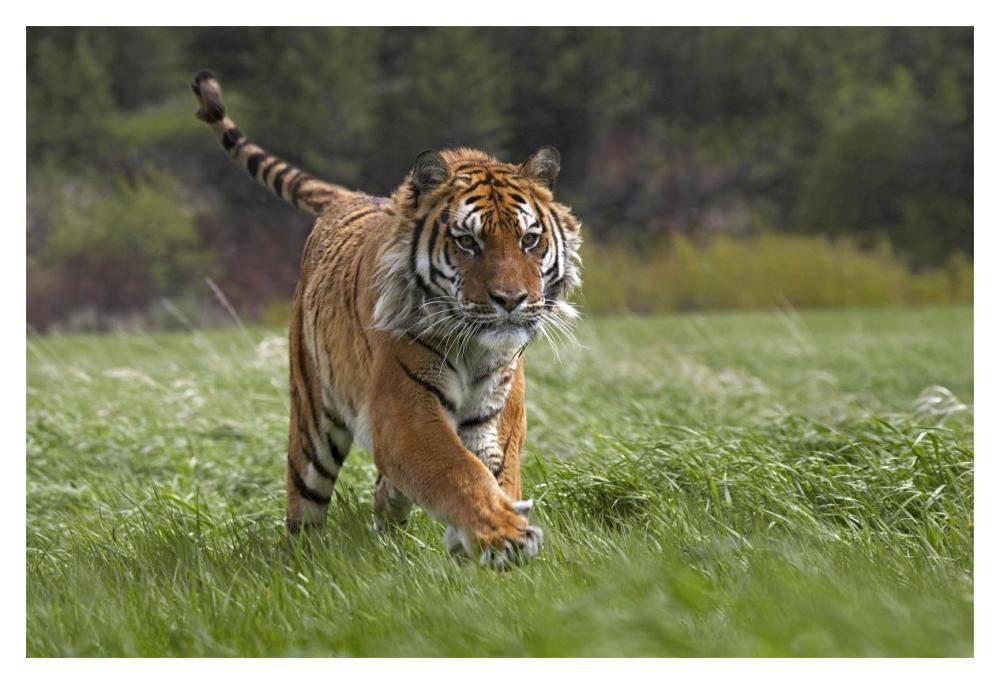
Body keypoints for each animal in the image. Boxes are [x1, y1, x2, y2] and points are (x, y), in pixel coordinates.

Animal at [191, 69, 582, 568]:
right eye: (468, 242)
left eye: (529, 239)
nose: (511, 300)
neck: (475, 348)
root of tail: (349, 197)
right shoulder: (405, 412)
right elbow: (459, 470)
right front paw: (504, 535)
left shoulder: (498, 414)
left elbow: (493, 472)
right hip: (312, 421)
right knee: (305, 505)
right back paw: (300, 560)